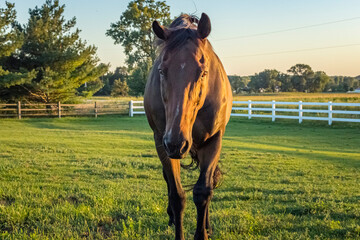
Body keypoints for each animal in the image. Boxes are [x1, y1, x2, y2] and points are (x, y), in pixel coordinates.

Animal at [144, 13, 233, 240]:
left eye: (203, 72)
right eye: (161, 71)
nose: (176, 142)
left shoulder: (213, 141)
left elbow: (203, 192)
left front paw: (203, 232)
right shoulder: (162, 141)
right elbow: (177, 195)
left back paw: (208, 225)